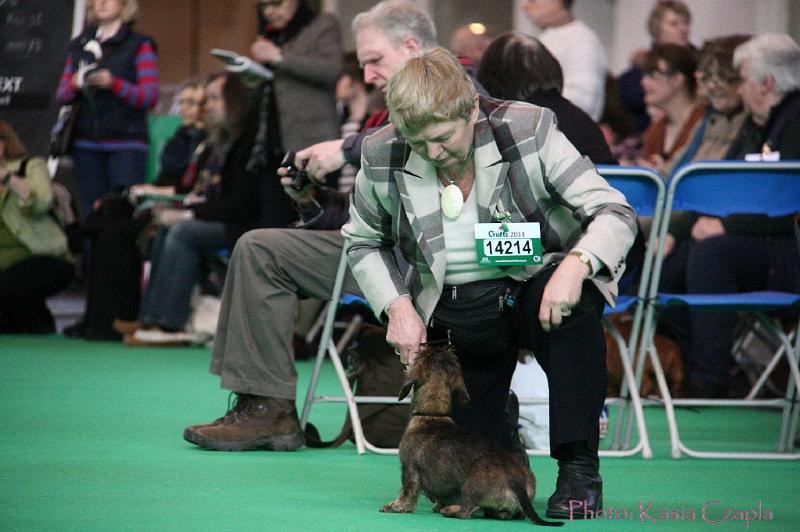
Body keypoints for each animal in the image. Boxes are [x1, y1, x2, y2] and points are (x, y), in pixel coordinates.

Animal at [382, 348, 564, 524]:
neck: (432, 416)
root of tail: (517, 481)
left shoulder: (409, 468)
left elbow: (408, 491)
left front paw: (396, 506)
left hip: (470, 487)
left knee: (467, 511)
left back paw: (451, 510)